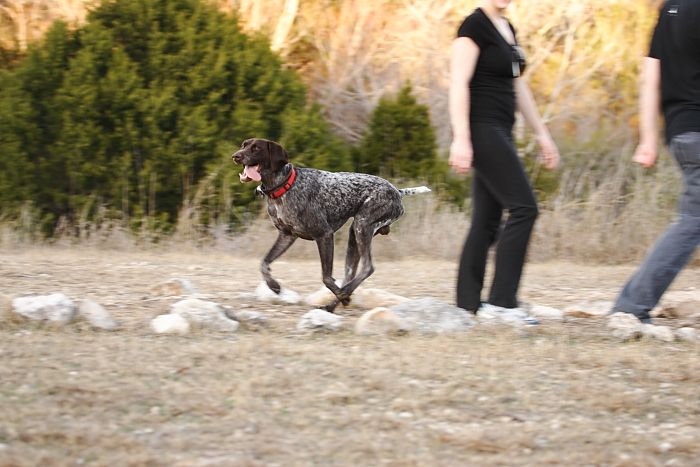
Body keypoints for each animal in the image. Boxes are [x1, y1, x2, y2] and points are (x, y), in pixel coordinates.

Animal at [232, 139, 430, 314]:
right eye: (243, 145)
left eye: (256, 148)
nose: (235, 156)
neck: (284, 187)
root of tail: (397, 191)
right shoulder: (286, 236)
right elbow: (264, 263)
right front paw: (273, 286)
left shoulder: (324, 235)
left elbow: (326, 277)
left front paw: (342, 294)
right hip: (354, 236)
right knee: (351, 274)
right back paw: (333, 304)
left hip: (362, 225)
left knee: (367, 267)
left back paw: (343, 295)